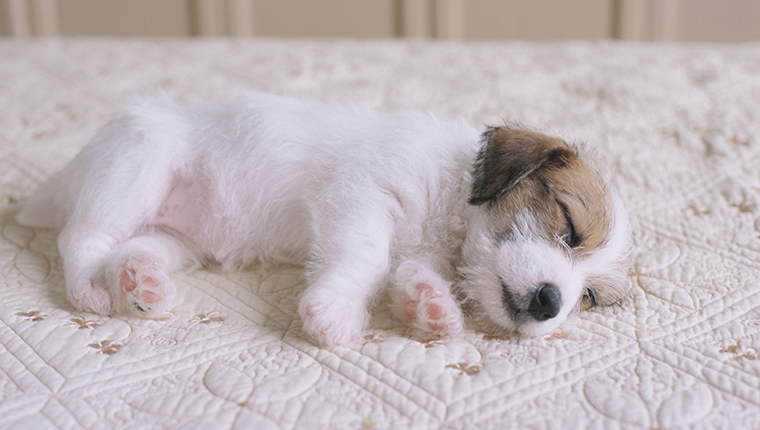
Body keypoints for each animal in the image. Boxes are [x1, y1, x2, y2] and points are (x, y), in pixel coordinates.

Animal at [17, 93, 636, 346]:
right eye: (568, 224)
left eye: (589, 299)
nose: (552, 302)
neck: (454, 208)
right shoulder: (360, 196)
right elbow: (366, 258)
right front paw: (334, 312)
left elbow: (409, 271)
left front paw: (429, 306)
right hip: (134, 165)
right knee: (82, 236)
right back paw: (88, 288)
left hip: (174, 237)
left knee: (129, 248)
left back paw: (139, 282)